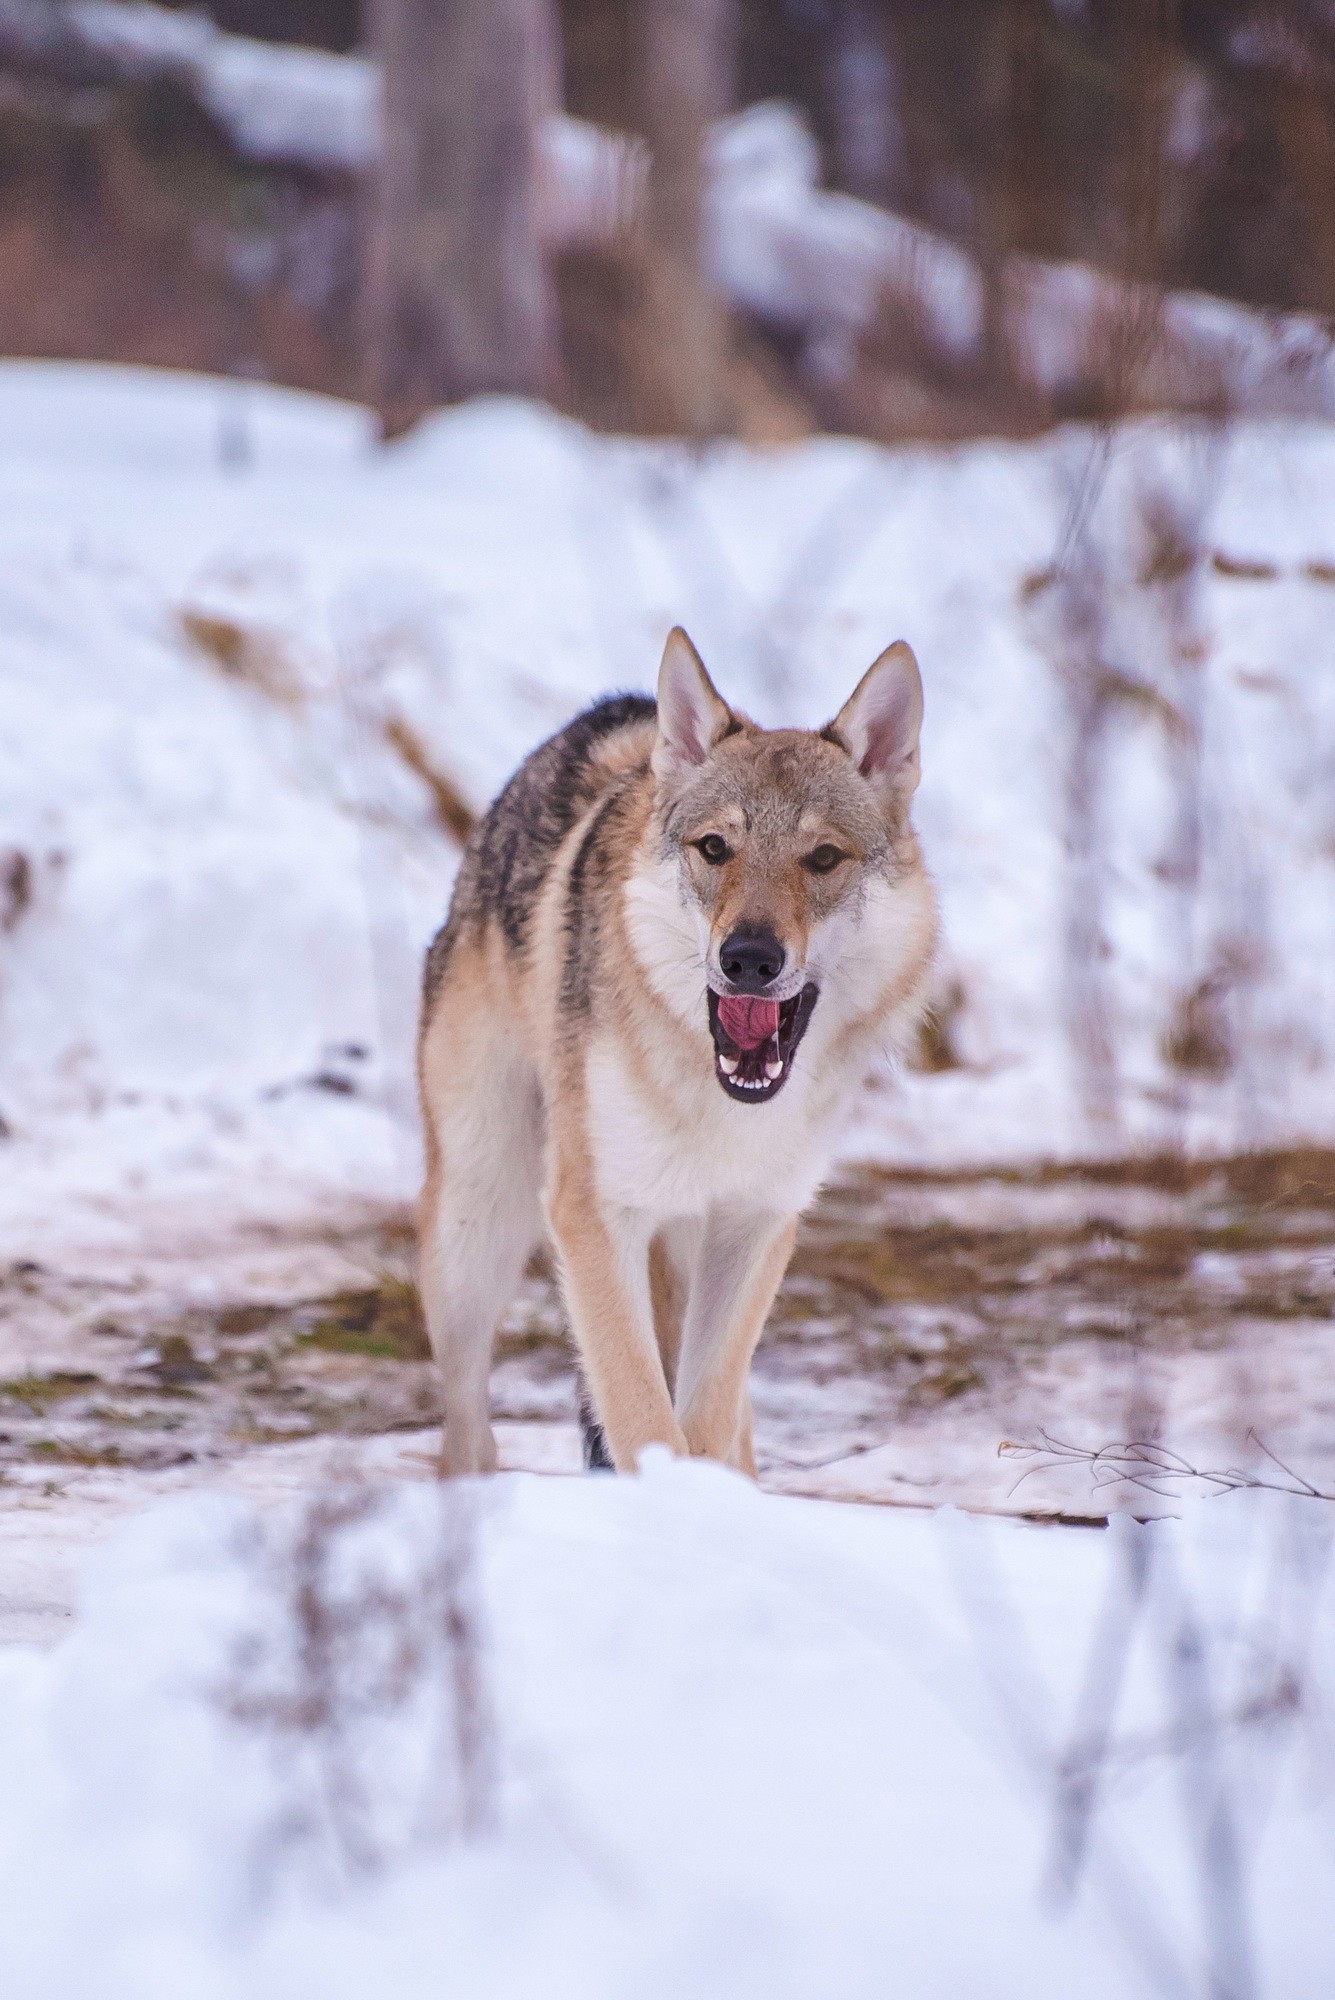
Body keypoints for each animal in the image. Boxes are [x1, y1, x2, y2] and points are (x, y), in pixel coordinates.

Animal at [417, 632, 939, 1480]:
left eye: (823, 858)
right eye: (714, 848)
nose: (749, 958)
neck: (720, 1105)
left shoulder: (758, 1227)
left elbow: (707, 1418)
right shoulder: (594, 1217)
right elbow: (640, 1416)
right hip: (476, 1220)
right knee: (468, 1433)